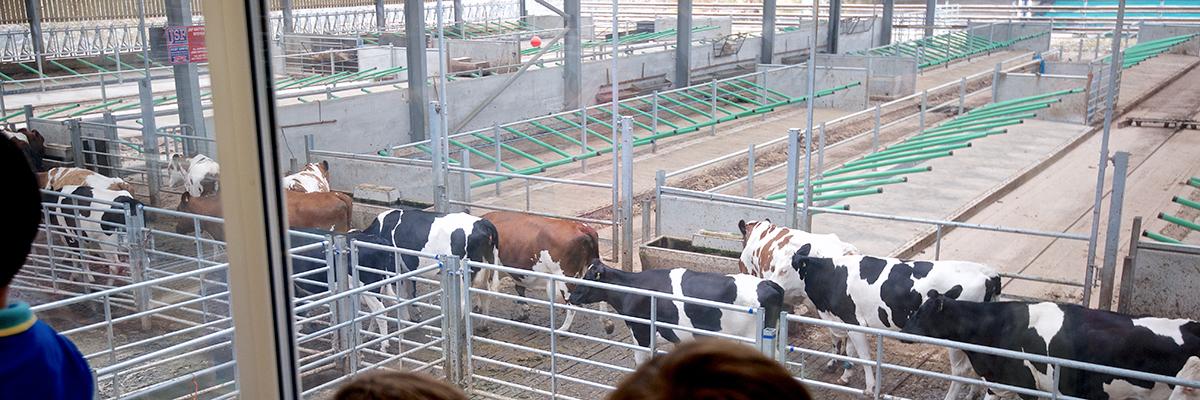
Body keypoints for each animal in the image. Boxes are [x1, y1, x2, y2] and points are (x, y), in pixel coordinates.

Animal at [360, 209, 501, 317]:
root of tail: (483, 223)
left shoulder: (395, 269)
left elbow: (401, 295)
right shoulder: (406, 269)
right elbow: (409, 292)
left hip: (462, 274)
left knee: (463, 304)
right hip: (485, 266)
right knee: (485, 293)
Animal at [792, 247, 998, 396]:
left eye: (786, 269)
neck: (833, 276)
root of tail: (989, 274)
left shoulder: (855, 323)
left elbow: (864, 357)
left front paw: (870, 387)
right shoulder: (846, 322)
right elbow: (849, 352)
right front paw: (845, 376)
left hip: (956, 341)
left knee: (960, 371)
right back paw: (972, 394)